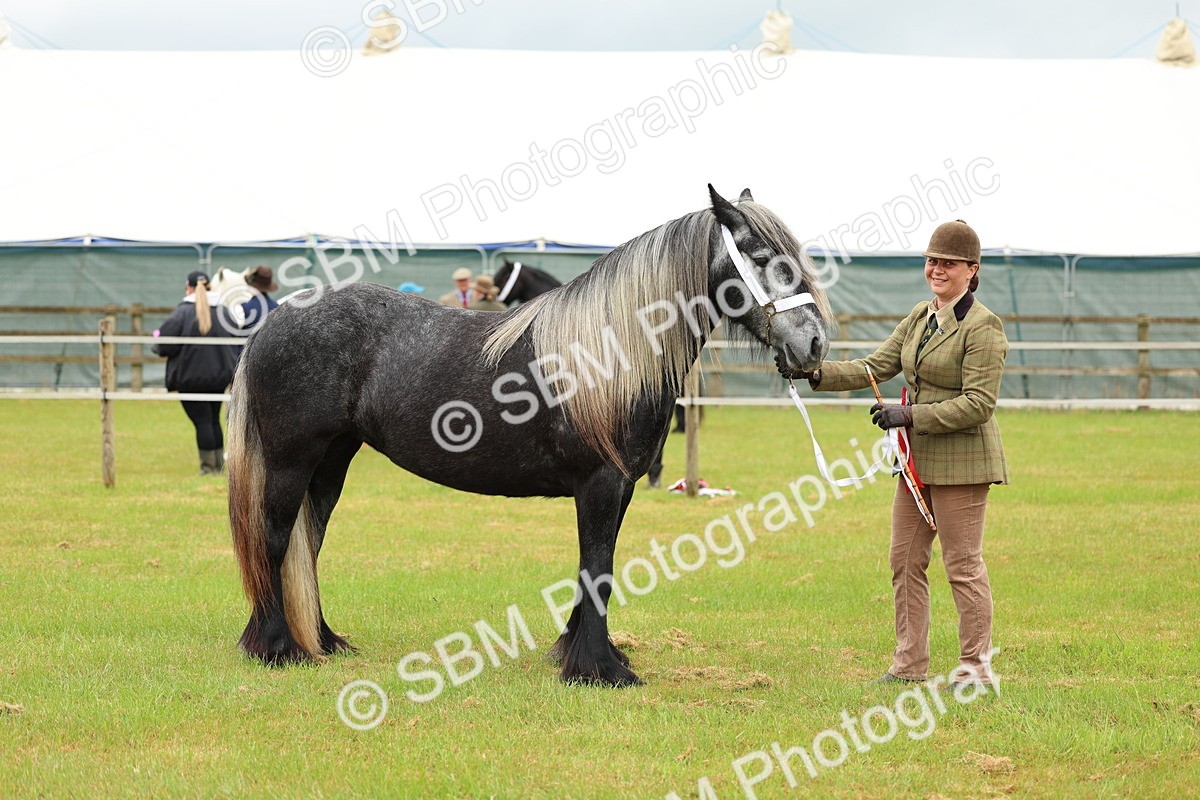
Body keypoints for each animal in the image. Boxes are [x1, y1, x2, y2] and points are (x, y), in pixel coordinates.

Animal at [227, 185, 832, 686]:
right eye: (762, 258)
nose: (815, 345)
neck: (609, 351)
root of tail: (276, 319)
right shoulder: (600, 483)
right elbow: (598, 567)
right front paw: (600, 670)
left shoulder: (621, 487)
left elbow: (596, 565)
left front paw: (576, 651)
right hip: (291, 461)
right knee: (275, 539)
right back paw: (278, 647)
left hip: (331, 461)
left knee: (308, 541)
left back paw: (323, 639)